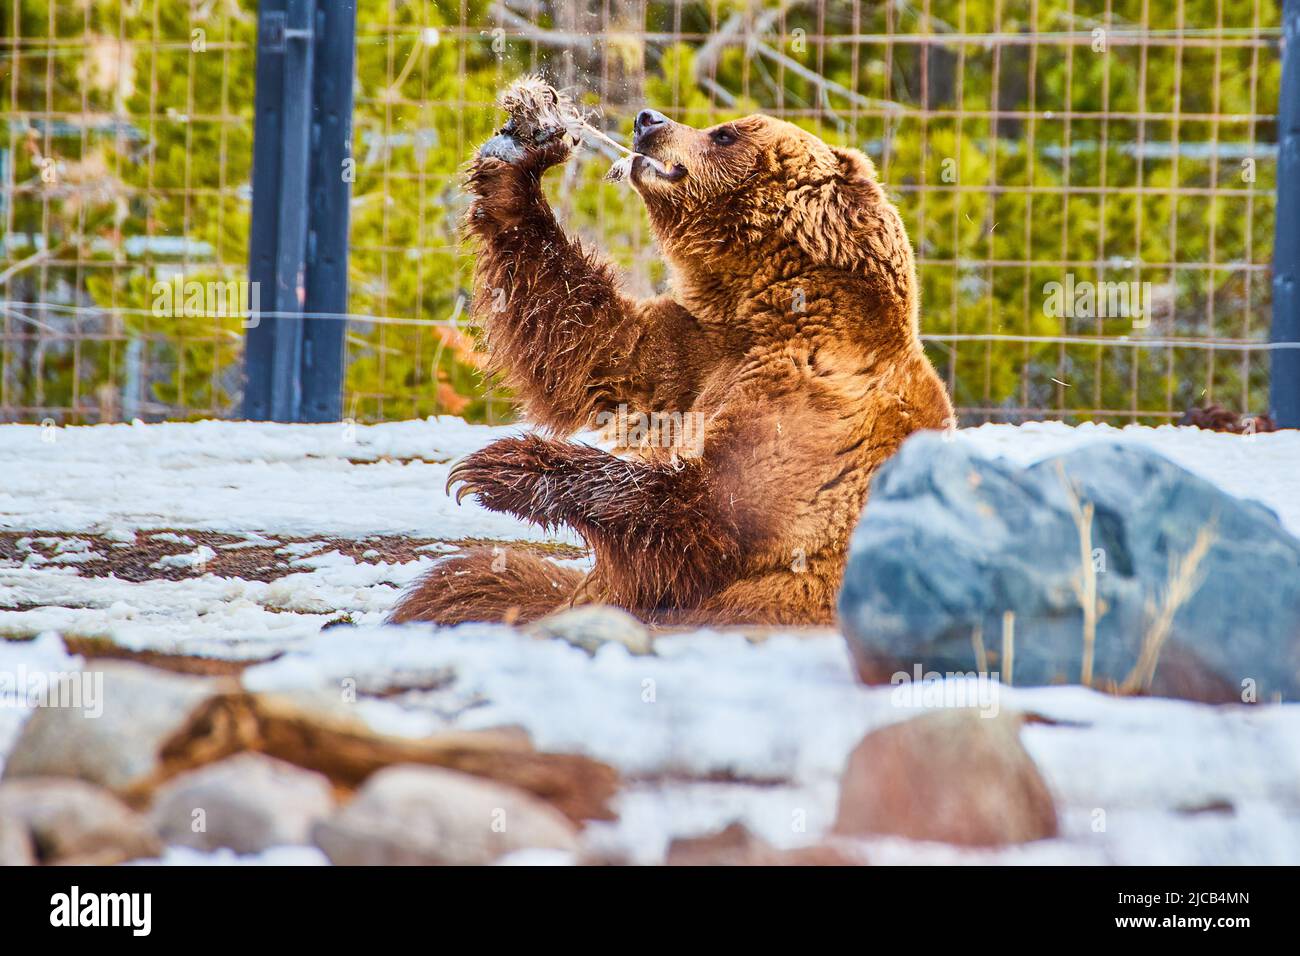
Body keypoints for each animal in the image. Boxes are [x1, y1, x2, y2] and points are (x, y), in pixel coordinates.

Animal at [389, 106, 954, 627]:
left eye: (725, 134)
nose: (648, 118)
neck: (773, 307)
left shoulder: (816, 411)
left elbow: (705, 515)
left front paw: (503, 465)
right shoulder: (701, 350)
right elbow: (593, 341)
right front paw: (519, 154)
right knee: (473, 581)